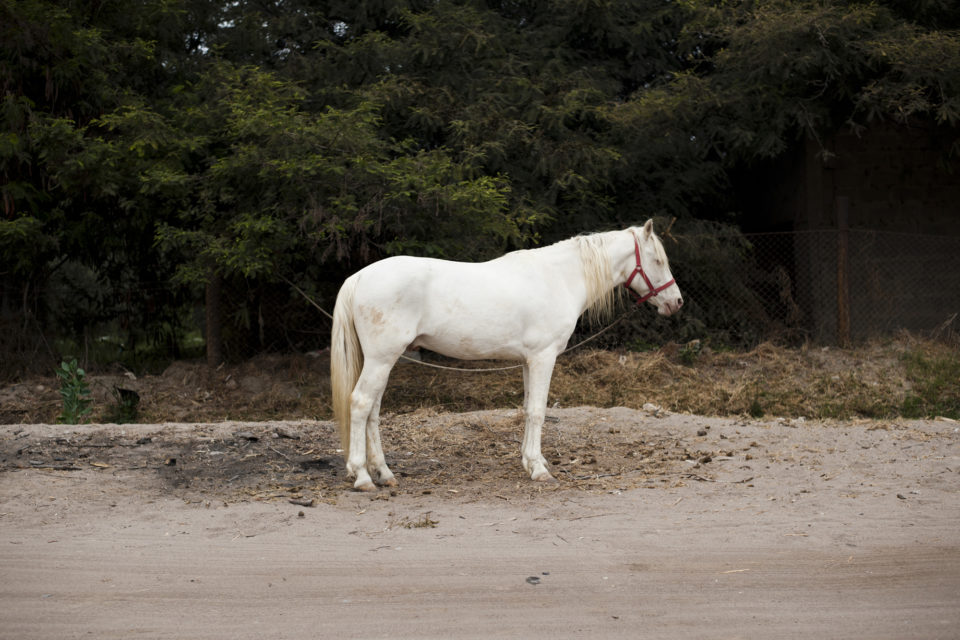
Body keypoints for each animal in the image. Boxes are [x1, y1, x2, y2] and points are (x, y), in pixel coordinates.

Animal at [330, 220, 684, 490]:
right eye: (657, 261)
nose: (676, 302)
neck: (559, 278)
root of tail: (359, 276)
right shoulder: (543, 358)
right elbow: (538, 411)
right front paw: (539, 470)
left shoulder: (529, 361)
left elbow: (528, 409)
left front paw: (530, 461)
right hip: (381, 359)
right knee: (360, 404)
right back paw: (362, 476)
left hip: (383, 361)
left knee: (373, 411)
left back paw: (384, 473)